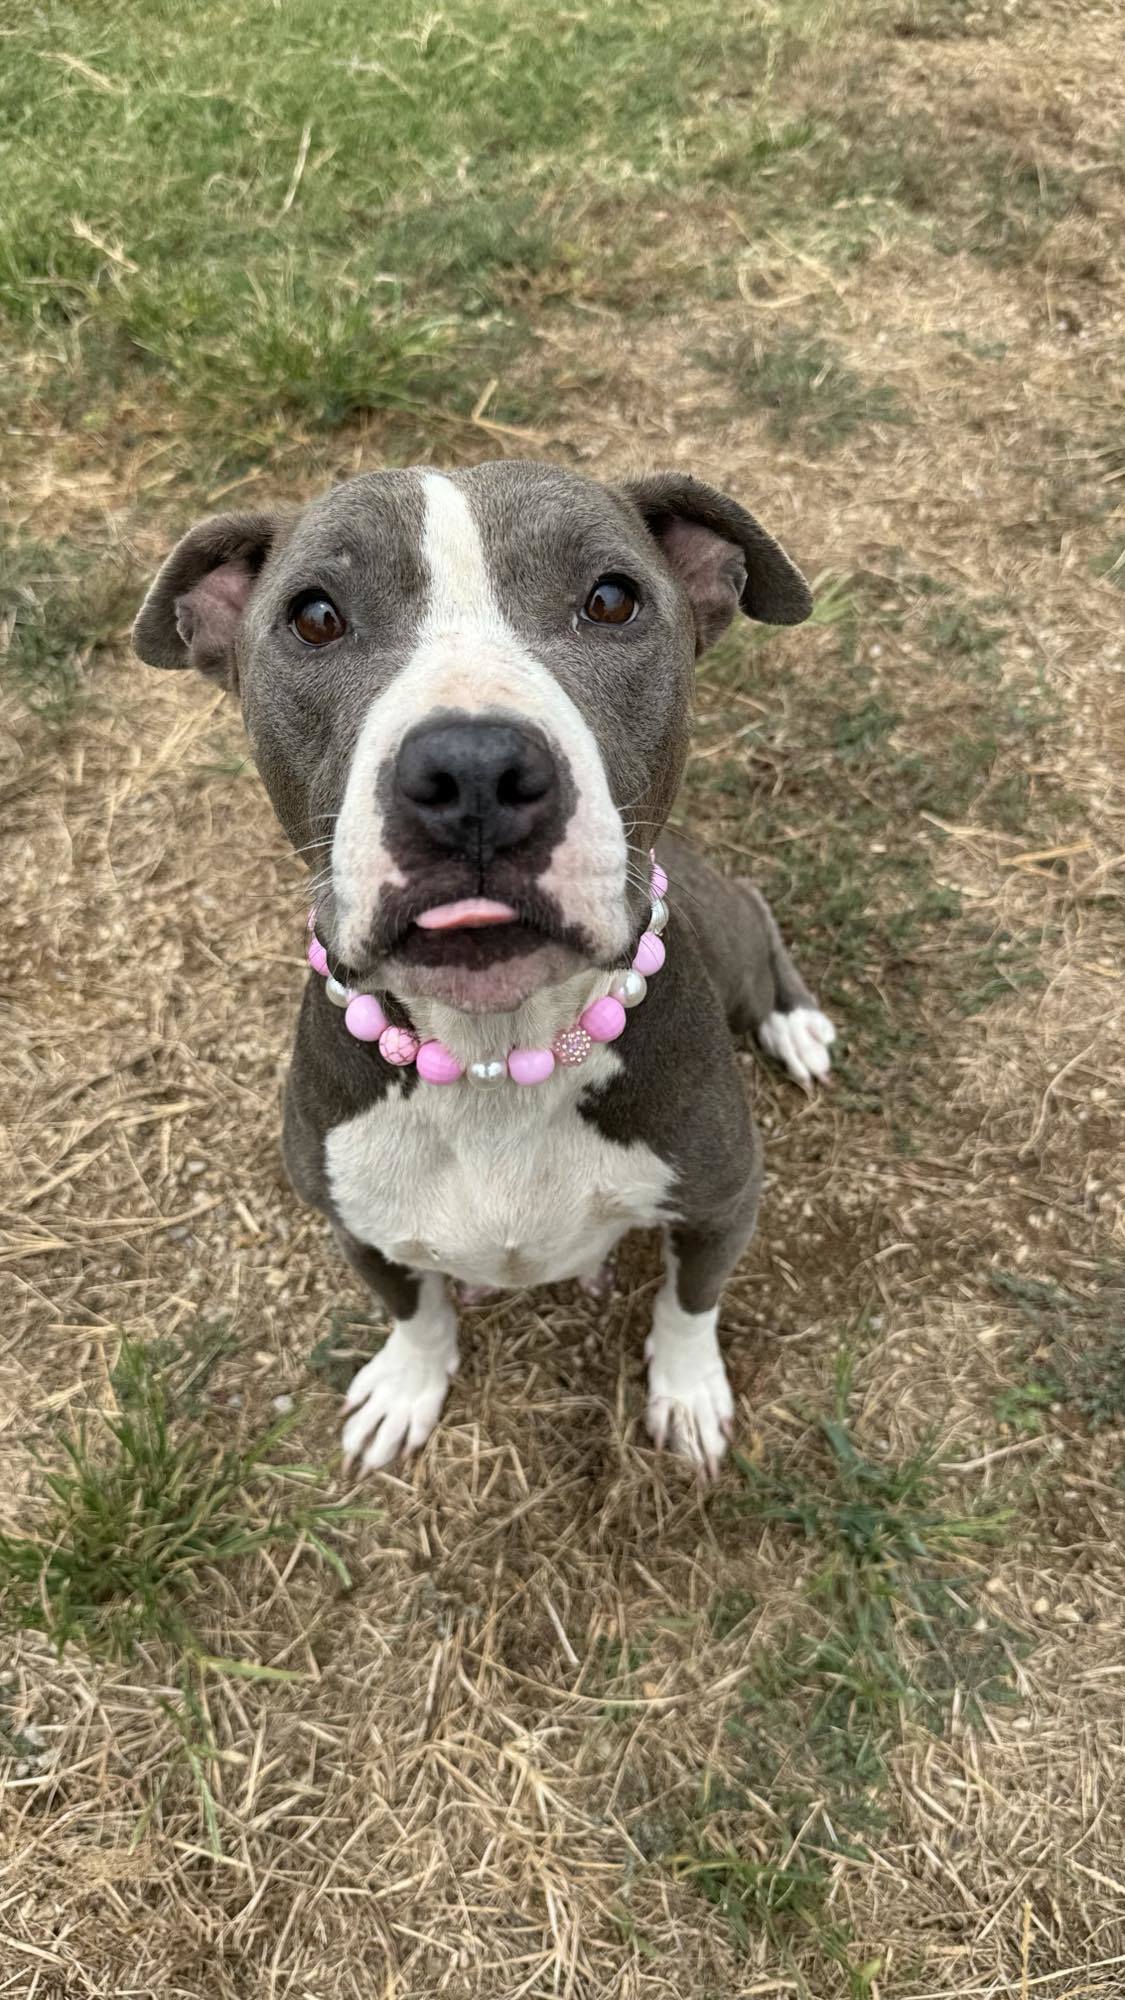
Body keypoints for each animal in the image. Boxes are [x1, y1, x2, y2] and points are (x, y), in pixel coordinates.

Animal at [133, 460, 832, 1480]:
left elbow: (688, 1305)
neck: (492, 1049)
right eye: (314, 616)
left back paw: (795, 1022)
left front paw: (689, 1392)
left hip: (733, 932)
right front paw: (405, 1386)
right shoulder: (355, 1223)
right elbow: (413, 1310)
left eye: (611, 599)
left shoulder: (720, 1203)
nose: (471, 770)